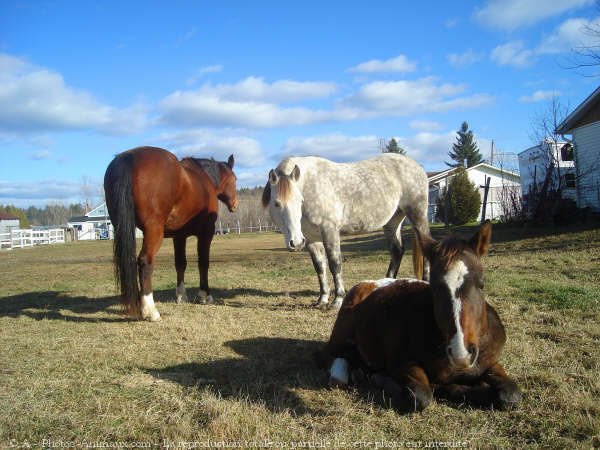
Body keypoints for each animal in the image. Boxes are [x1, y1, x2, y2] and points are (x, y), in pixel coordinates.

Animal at [103, 147, 237, 320]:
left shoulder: (179, 236)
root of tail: (128, 157)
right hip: (154, 231)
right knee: (145, 261)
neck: (204, 179)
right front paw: (205, 295)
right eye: (234, 179)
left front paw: (181, 296)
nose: (235, 204)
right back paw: (150, 311)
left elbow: (180, 264)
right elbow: (203, 263)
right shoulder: (206, 233)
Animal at [262, 154, 432, 310]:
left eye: (300, 201)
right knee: (397, 250)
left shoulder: (329, 230)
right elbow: (319, 267)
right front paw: (322, 300)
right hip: (392, 222)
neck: (310, 184)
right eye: (276, 203)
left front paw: (337, 300)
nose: (296, 242)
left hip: (417, 215)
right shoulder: (311, 238)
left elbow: (334, 263)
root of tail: (417, 166)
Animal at [318, 223, 520, 414]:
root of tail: (372, 283)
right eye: (434, 287)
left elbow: (510, 393)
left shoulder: (491, 363)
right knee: (331, 356)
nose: (461, 353)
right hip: (343, 330)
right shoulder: (402, 363)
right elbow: (422, 395)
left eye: (482, 284)